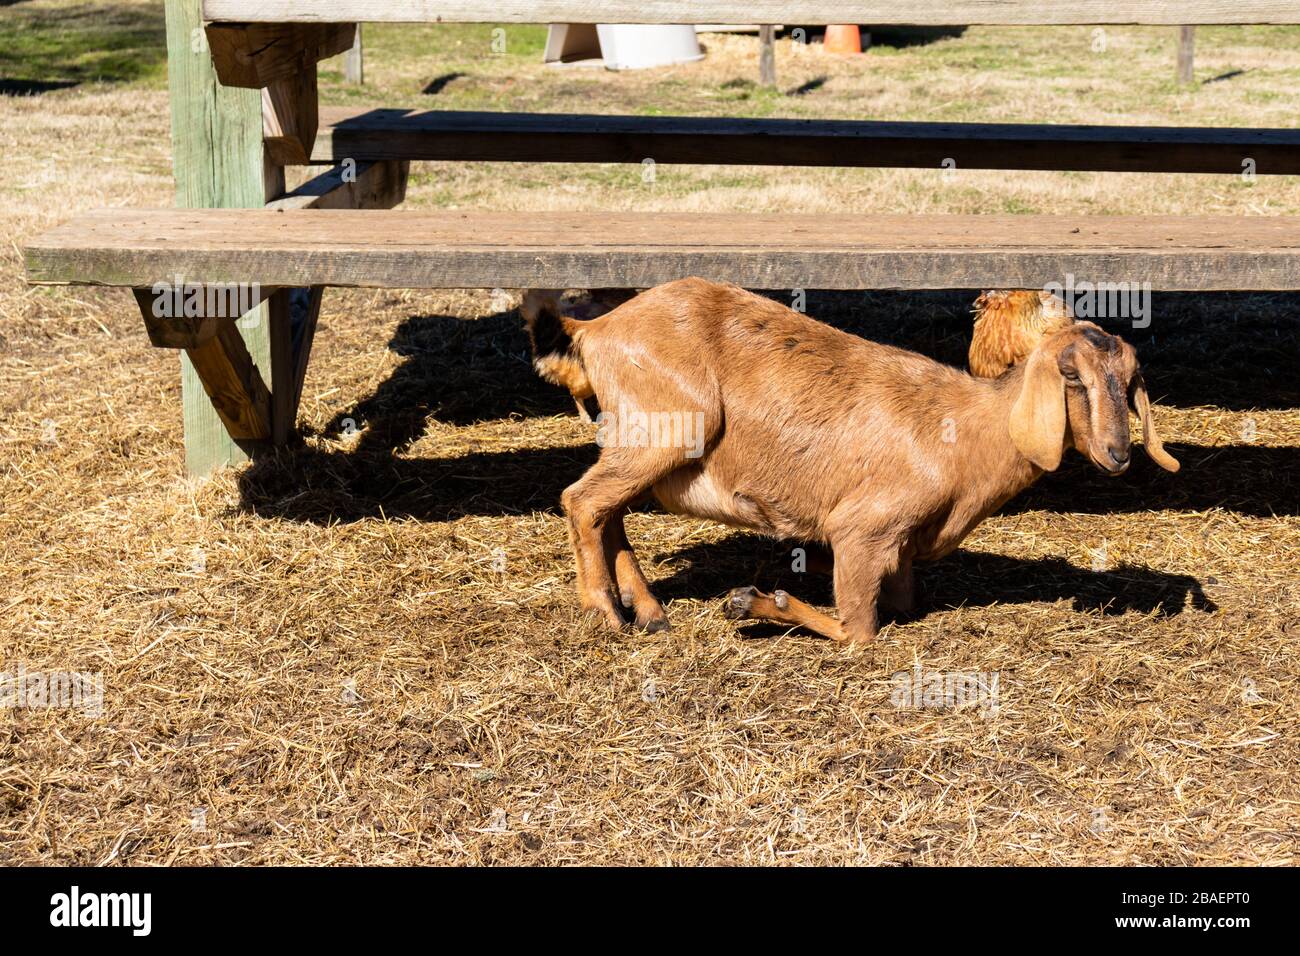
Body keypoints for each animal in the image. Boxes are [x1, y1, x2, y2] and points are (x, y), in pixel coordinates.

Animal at [531, 278, 1179, 644]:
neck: (967, 431)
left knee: (607, 512)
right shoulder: (864, 529)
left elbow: (900, 604)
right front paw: (760, 600)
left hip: (637, 441)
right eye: (1070, 374)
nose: (1119, 454)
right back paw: (606, 613)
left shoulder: (902, 549)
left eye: (1130, 381)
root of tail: (593, 330)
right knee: (581, 500)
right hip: (666, 431)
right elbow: (860, 632)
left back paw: (649, 611)